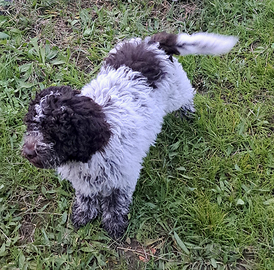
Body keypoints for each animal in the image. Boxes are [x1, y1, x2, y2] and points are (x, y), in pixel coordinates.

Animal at [22, 32, 238, 238]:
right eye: (32, 125)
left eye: (56, 131)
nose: (28, 152)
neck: (90, 153)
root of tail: (152, 44)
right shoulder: (85, 180)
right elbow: (86, 195)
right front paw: (84, 213)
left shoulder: (123, 177)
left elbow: (116, 201)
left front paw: (114, 223)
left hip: (177, 90)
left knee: (186, 96)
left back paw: (187, 113)